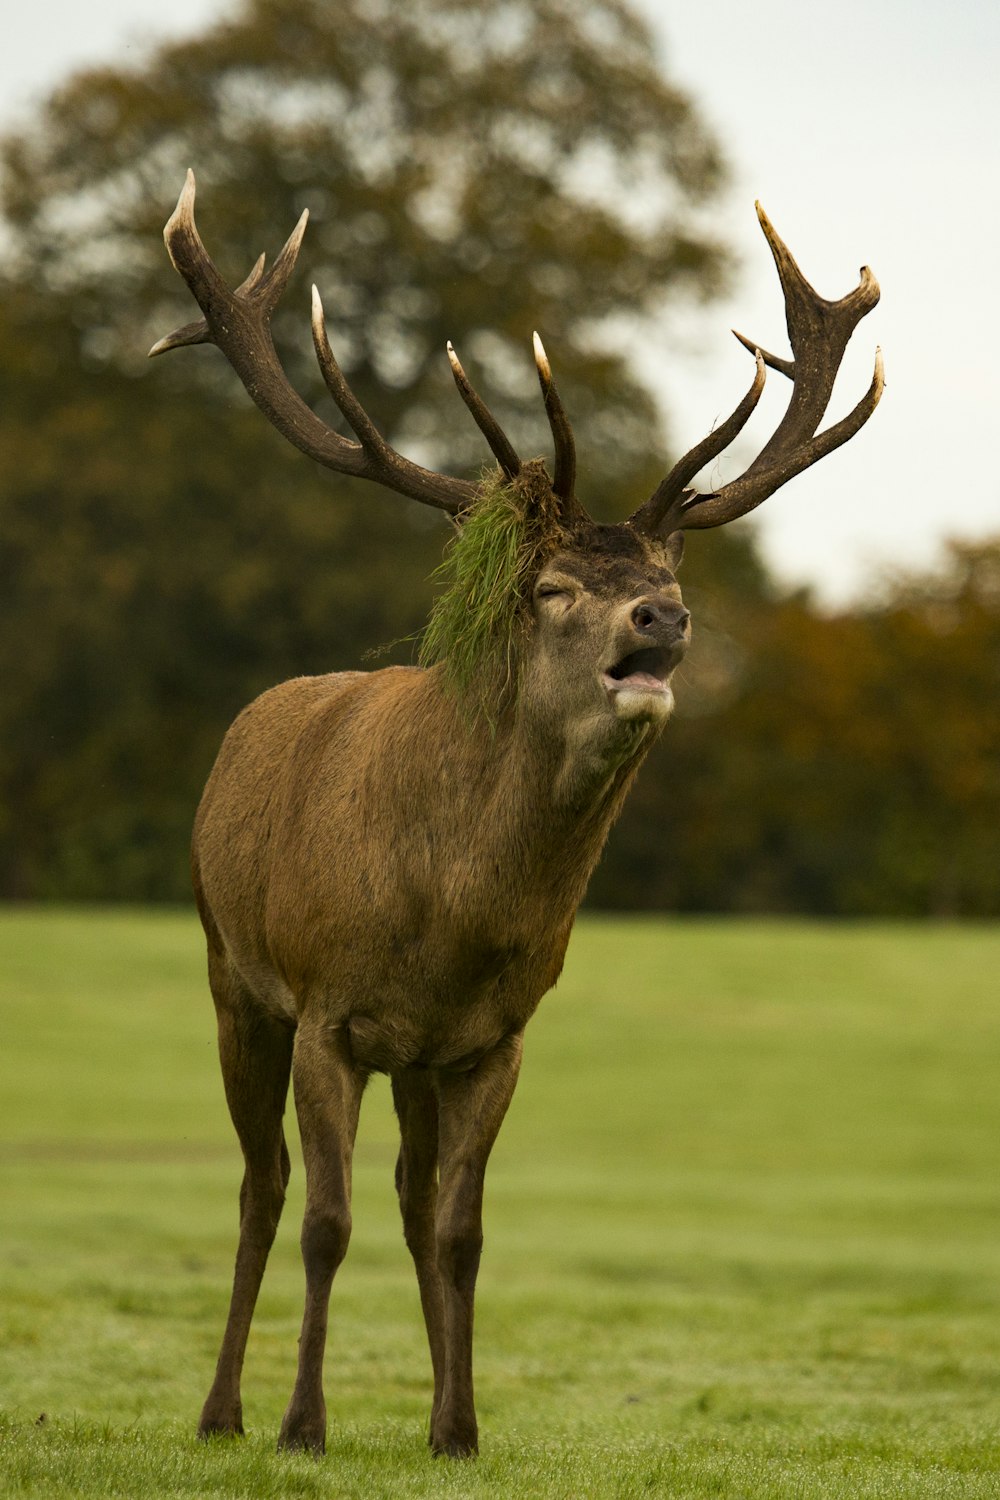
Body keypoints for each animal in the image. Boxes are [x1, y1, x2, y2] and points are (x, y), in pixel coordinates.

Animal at [150, 172, 881, 1452]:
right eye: (551, 587)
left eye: (670, 580)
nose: (660, 619)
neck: (453, 916)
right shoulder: (328, 1010)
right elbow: (324, 1222)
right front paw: (303, 1424)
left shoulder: (493, 1038)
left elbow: (460, 1231)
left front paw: (458, 1427)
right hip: (232, 975)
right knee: (261, 1188)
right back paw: (224, 1411)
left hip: (408, 1059)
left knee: (403, 1199)